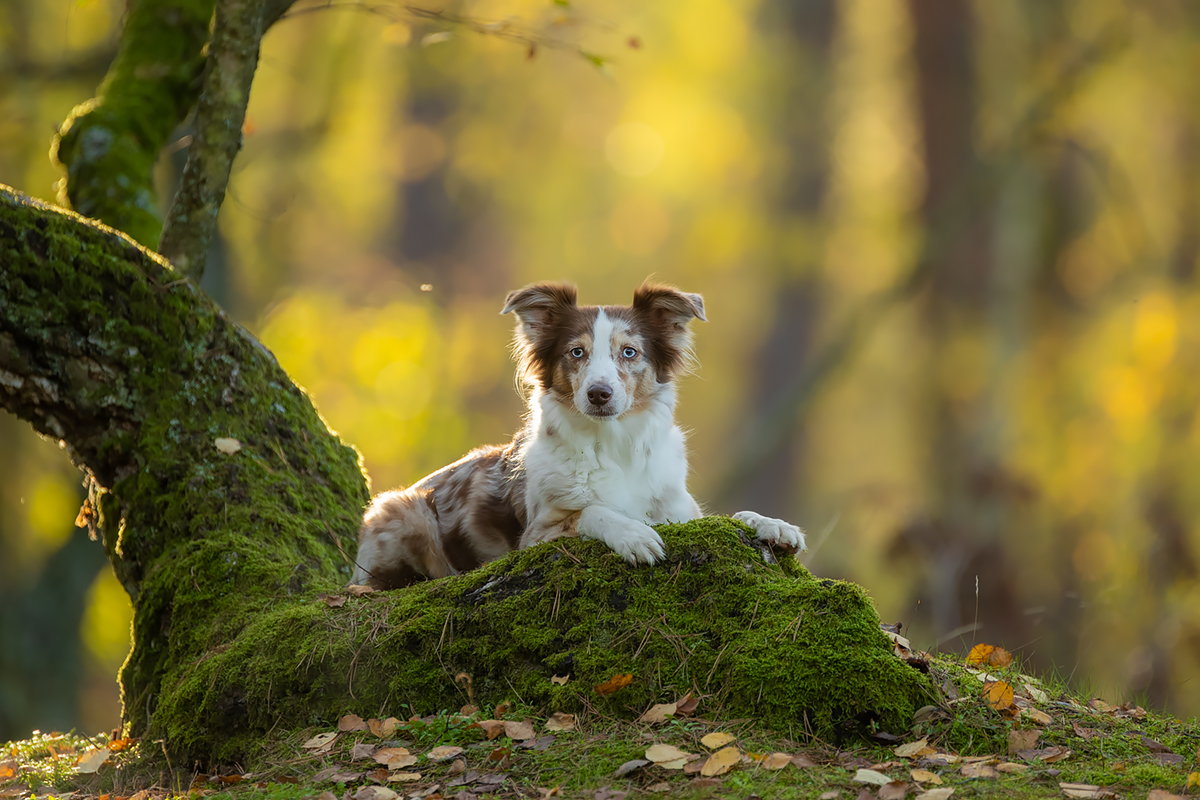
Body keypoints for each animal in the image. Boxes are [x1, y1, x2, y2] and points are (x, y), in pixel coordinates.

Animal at [355, 280, 806, 587]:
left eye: (629, 352)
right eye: (576, 352)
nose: (599, 393)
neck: (615, 446)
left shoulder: (679, 512)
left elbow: (729, 517)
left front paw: (772, 524)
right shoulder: (536, 536)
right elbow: (589, 511)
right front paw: (632, 535)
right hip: (402, 509)